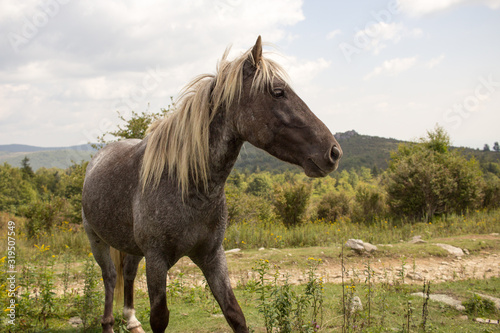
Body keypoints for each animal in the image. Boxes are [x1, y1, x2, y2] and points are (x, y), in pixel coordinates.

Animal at [81, 36, 344, 332]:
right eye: (278, 92)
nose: (333, 152)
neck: (187, 185)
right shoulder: (157, 260)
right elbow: (160, 317)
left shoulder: (212, 256)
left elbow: (235, 314)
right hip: (96, 240)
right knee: (110, 276)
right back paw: (108, 322)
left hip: (133, 247)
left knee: (127, 273)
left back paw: (132, 320)